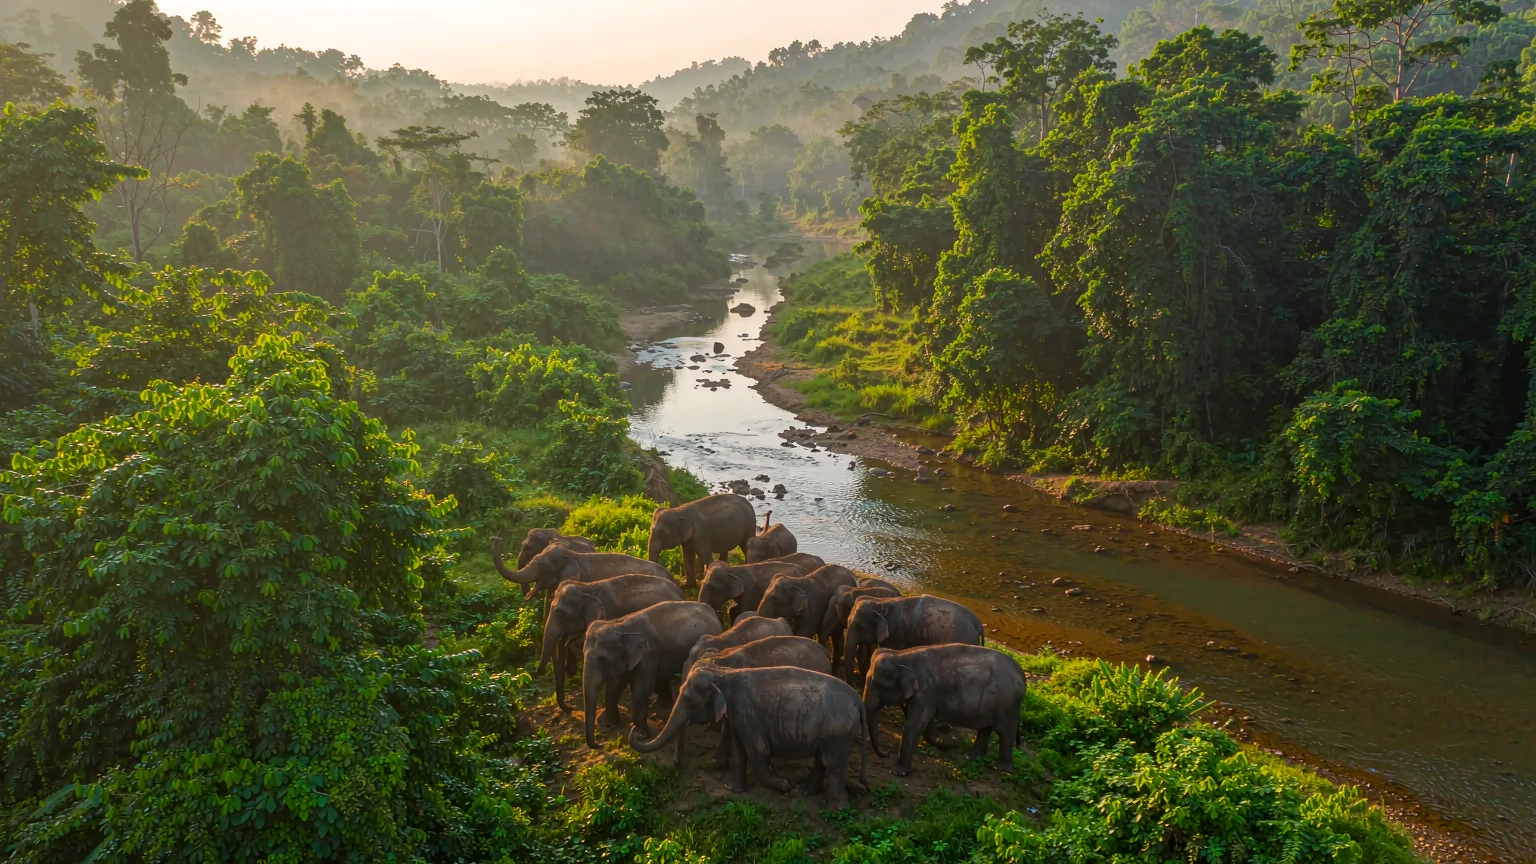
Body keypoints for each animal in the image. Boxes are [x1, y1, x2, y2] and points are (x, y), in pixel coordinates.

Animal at [582, 601, 721, 749]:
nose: (601, 743)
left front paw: (641, 735)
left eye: (602, 659)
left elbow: (641, 690)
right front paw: (609, 724)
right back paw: (659, 706)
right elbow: (614, 686)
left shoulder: (648, 655)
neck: (620, 624)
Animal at [629, 662, 868, 809]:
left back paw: (834, 809)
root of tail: (857, 698)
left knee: (832, 763)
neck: (724, 672)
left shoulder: (747, 712)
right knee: (823, 760)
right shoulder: (737, 715)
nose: (634, 731)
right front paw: (735, 790)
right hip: (831, 732)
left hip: (838, 731)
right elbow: (739, 750)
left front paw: (784, 785)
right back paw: (805, 792)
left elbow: (757, 750)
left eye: (687, 699)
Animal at [862, 644, 1025, 775]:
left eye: (879, 686)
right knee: (985, 728)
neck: (900, 655)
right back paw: (969, 757)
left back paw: (1002, 769)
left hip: (1007, 703)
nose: (886, 754)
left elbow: (916, 722)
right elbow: (922, 721)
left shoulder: (926, 688)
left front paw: (897, 773)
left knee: (1005, 732)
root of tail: (1023, 676)